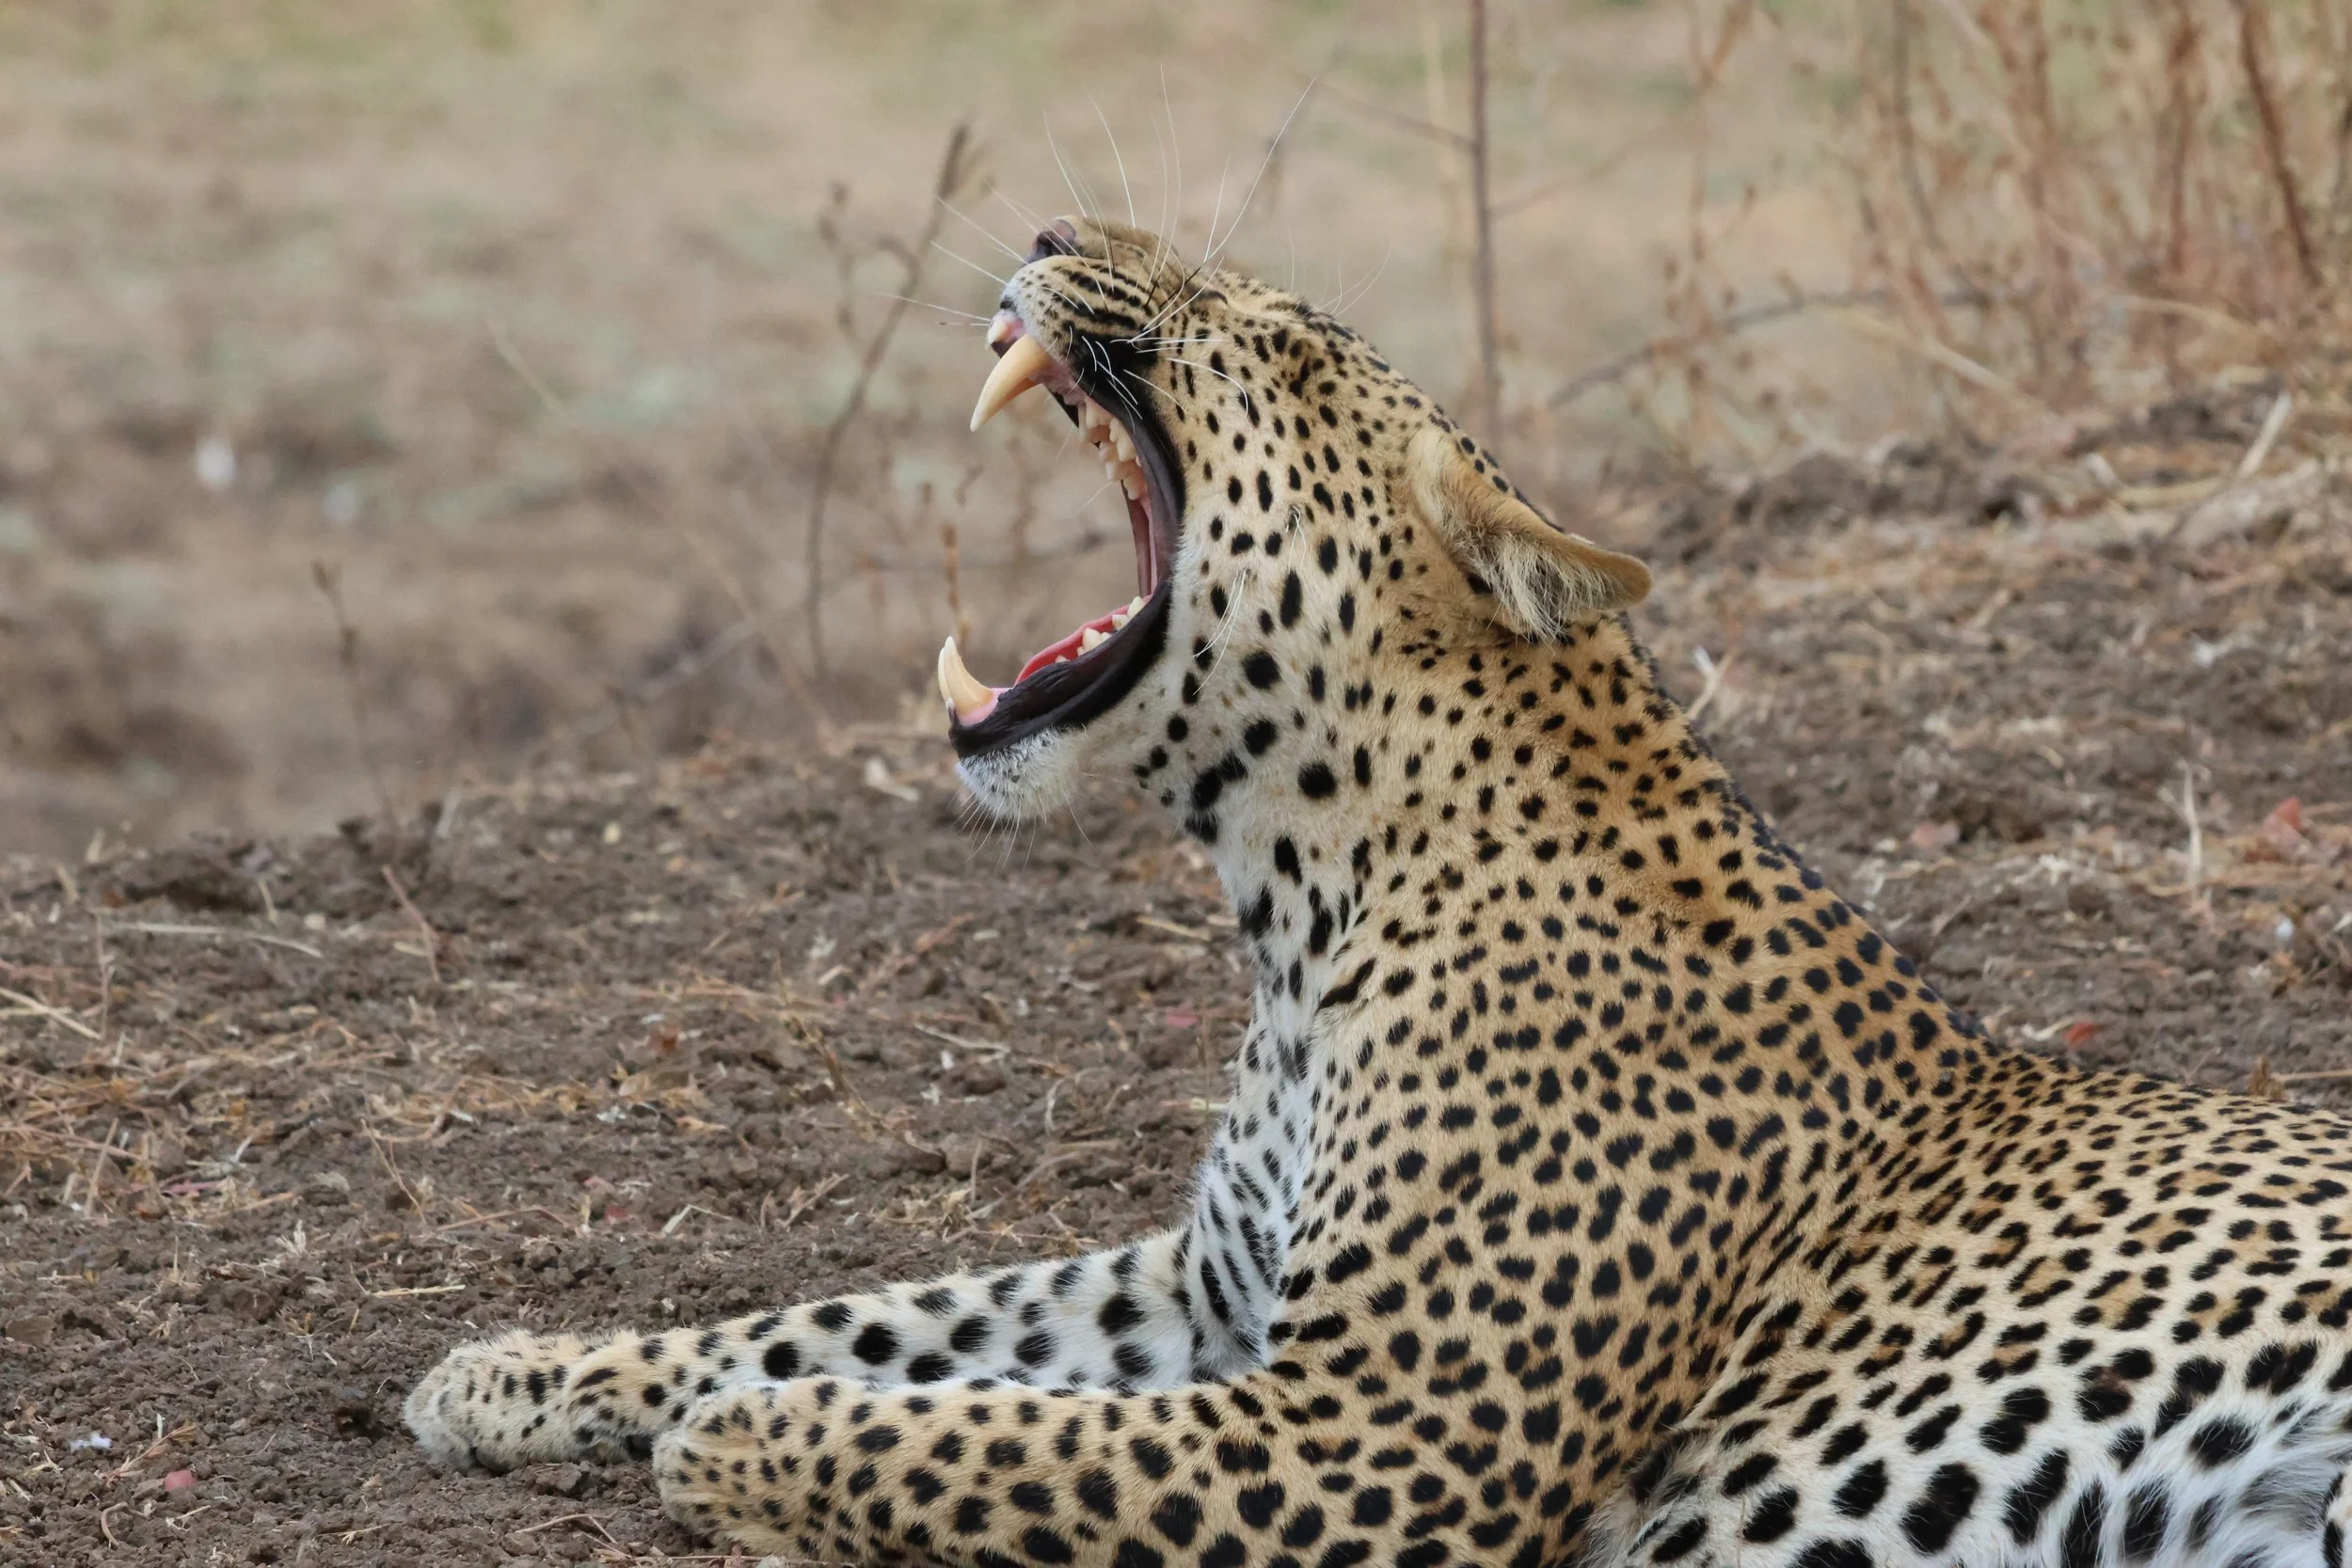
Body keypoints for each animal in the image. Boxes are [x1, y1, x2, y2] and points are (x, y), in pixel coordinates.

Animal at [407, 217, 2352, 1568]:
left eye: (1274, 339)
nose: (1043, 227)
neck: (1298, 910)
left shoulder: (1375, 1439)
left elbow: (969, 1431)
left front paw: (734, 1445)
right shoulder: (1196, 1292)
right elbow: (883, 1314)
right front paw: (514, 1371)